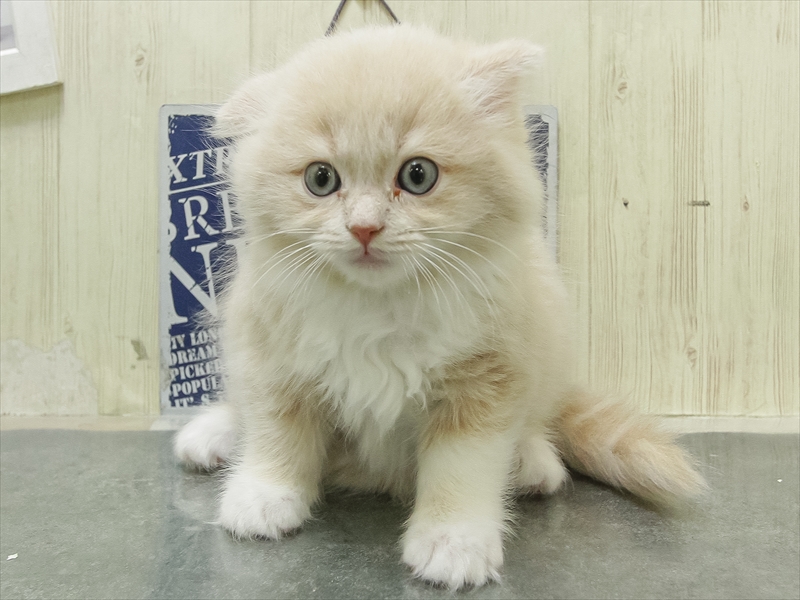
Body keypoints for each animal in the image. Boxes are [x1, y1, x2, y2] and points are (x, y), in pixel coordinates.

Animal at [174, 25, 706, 589]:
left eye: (418, 175)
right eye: (320, 180)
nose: (364, 228)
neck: (379, 308)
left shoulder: (489, 378)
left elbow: (462, 468)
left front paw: (455, 542)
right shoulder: (271, 353)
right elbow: (277, 433)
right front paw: (263, 496)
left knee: (538, 419)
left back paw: (532, 462)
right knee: (244, 407)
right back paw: (214, 433)